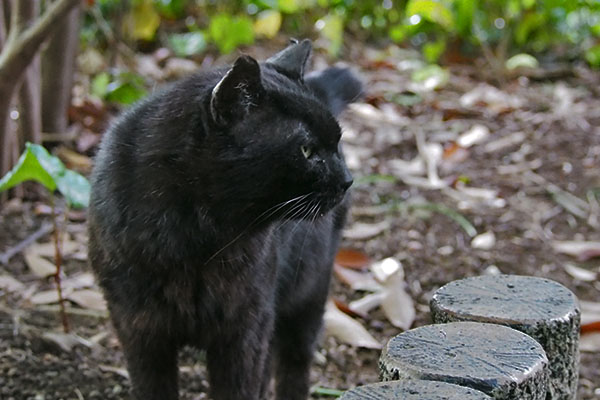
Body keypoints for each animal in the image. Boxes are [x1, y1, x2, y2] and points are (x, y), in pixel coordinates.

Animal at [87, 38, 364, 400]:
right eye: (306, 150)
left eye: (337, 142)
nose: (347, 180)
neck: (193, 242)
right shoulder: (139, 329)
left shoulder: (244, 329)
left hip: (307, 296)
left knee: (294, 366)